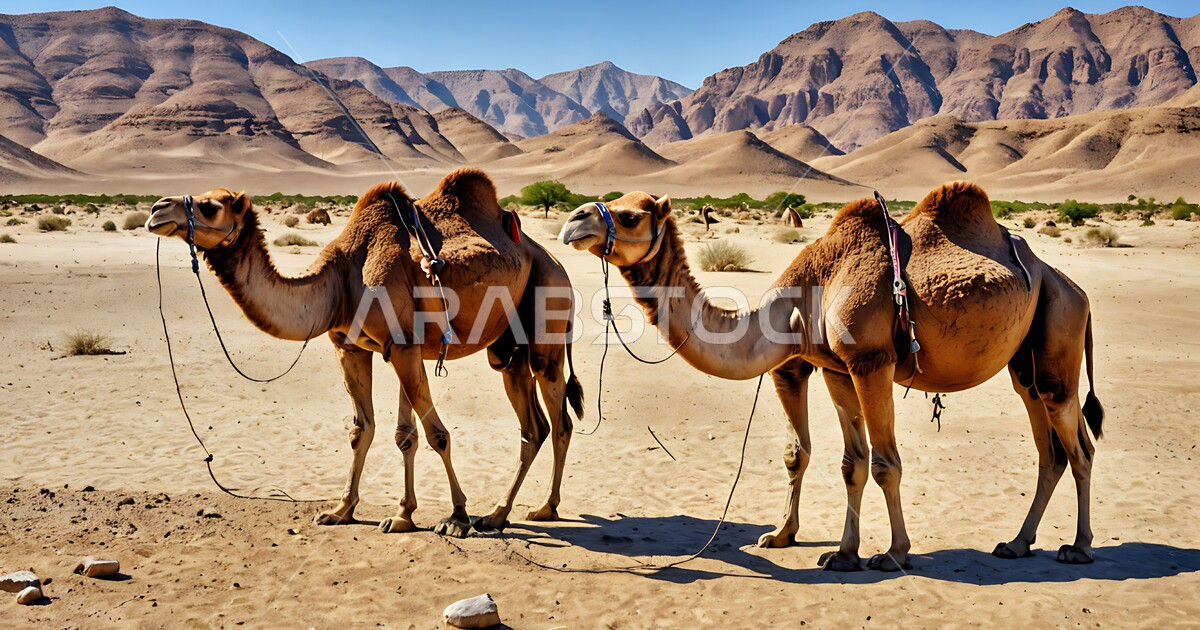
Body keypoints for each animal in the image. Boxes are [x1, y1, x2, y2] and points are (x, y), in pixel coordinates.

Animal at [147, 168, 583, 538]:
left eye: (210, 206)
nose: (156, 211)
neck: (341, 280)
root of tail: (554, 260)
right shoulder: (355, 348)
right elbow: (375, 431)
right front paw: (360, 512)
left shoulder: (402, 347)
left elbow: (435, 434)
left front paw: (456, 516)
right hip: (507, 350)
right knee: (533, 426)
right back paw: (497, 514)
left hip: (547, 314)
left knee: (558, 419)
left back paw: (543, 509)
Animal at [559, 182, 1103, 570]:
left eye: (630, 215)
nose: (573, 222)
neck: (807, 288)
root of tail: (1073, 285)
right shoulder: (833, 369)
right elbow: (844, 462)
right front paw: (825, 548)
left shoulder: (870, 362)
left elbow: (884, 463)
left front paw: (893, 553)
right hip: (1026, 362)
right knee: (1049, 448)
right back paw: (1017, 543)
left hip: (1060, 332)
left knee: (1079, 445)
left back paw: (1078, 547)